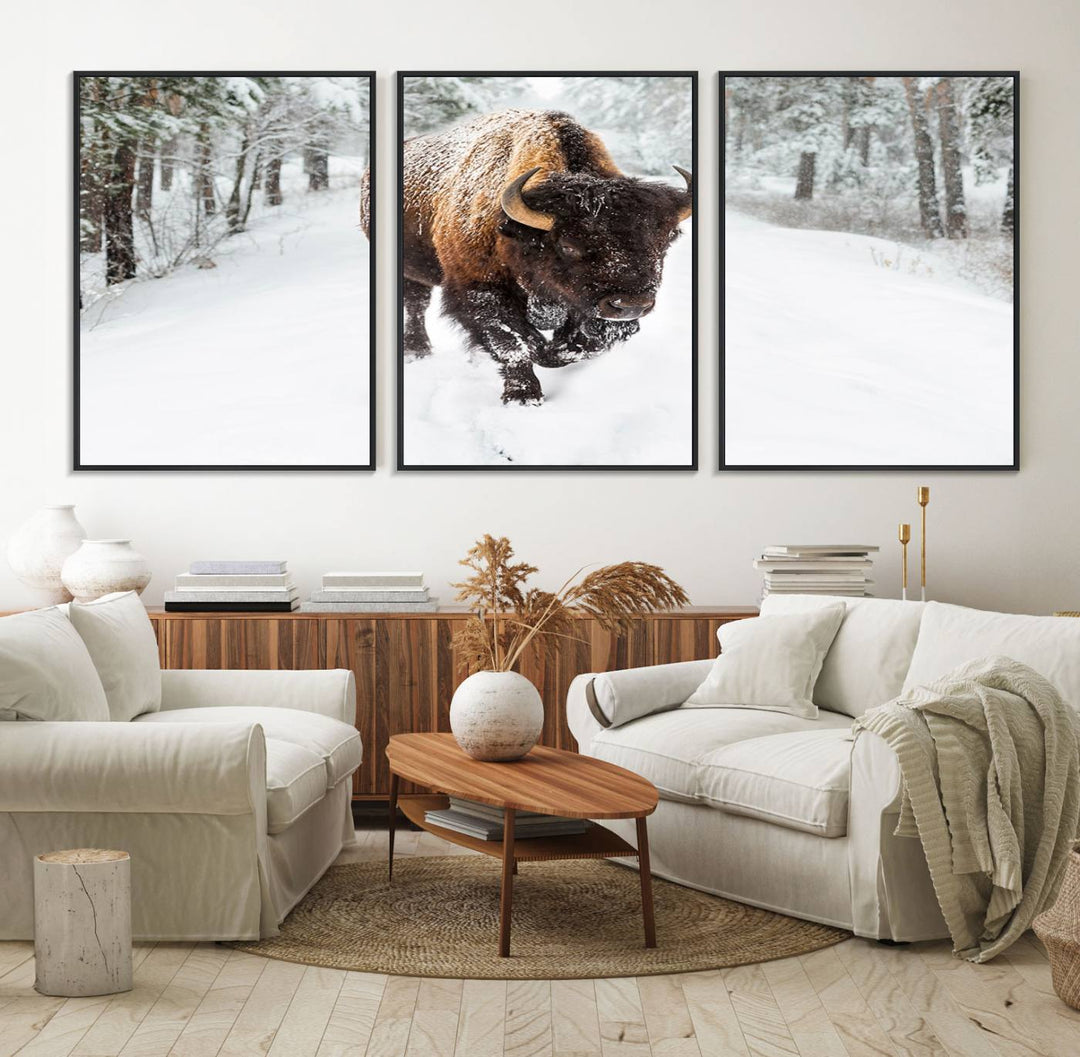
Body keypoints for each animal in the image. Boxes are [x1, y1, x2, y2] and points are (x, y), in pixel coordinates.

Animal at [375, 109, 691, 403]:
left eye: (665, 241)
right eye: (567, 245)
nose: (630, 305)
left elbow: (582, 344)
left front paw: (550, 352)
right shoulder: (479, 289)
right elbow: (513, 343)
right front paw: (523, 396)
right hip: (410, 272)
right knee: (415, 305)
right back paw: (417, 351)